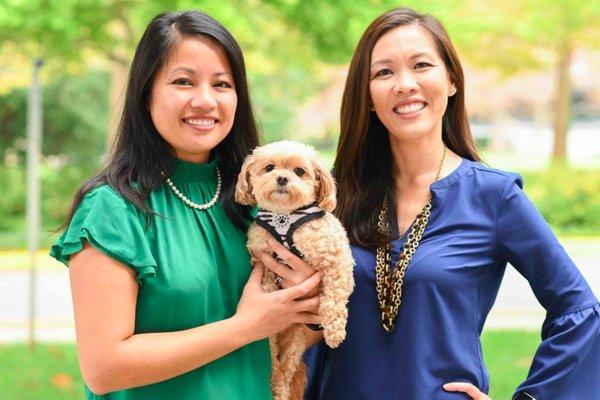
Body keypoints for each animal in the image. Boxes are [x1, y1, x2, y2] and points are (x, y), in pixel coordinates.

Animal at [234, 141, 354, 400]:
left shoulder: (337, 260)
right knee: (275, 366)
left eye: (299, 171)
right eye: (269, 167)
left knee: (286, 368)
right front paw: (269, 296)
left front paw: (334, 332)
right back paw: (277, 386)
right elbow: (267, 280)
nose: (281, 178)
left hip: (294, 343)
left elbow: (334, 299)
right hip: (271, 343)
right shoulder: (261, 256)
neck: (284, 217)